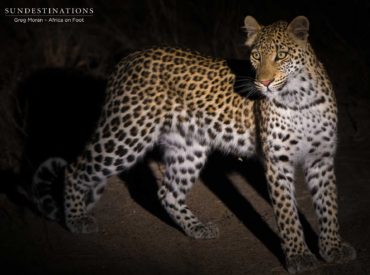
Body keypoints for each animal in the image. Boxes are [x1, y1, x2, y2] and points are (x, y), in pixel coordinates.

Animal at [31, 16, 356, 274]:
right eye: (255, 57)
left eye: (281, 55)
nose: (262, 83)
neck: (299, 98)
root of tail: (125, 61)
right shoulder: (278, 161)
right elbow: (288, 214)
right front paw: (299, 256)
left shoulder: (322, 157)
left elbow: (328, 206)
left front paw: (333, 248)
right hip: (127, 133)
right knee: (75, 169)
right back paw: (76, 219)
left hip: (189, 147)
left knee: (168, 192)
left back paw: (197, 227)